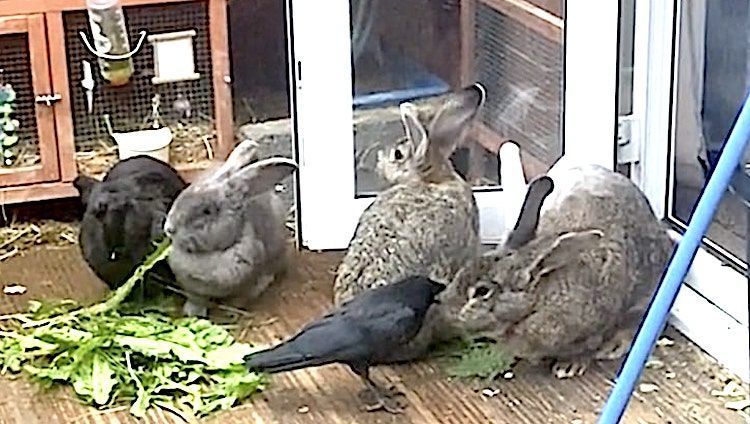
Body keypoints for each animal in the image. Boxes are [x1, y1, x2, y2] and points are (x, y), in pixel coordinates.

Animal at [164, 141, 300, 316]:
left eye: (207, 211)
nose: (169, 228)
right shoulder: (193, 290)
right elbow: (196, 299)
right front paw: (192, 313)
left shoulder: (246, 285)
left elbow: (241, 298)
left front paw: (231, 312)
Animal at [458, 165, 676, 378]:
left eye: (482, 291)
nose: (454, 315)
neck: (540, 296)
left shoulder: (596, 325)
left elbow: (588, 347)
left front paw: (569, 366)